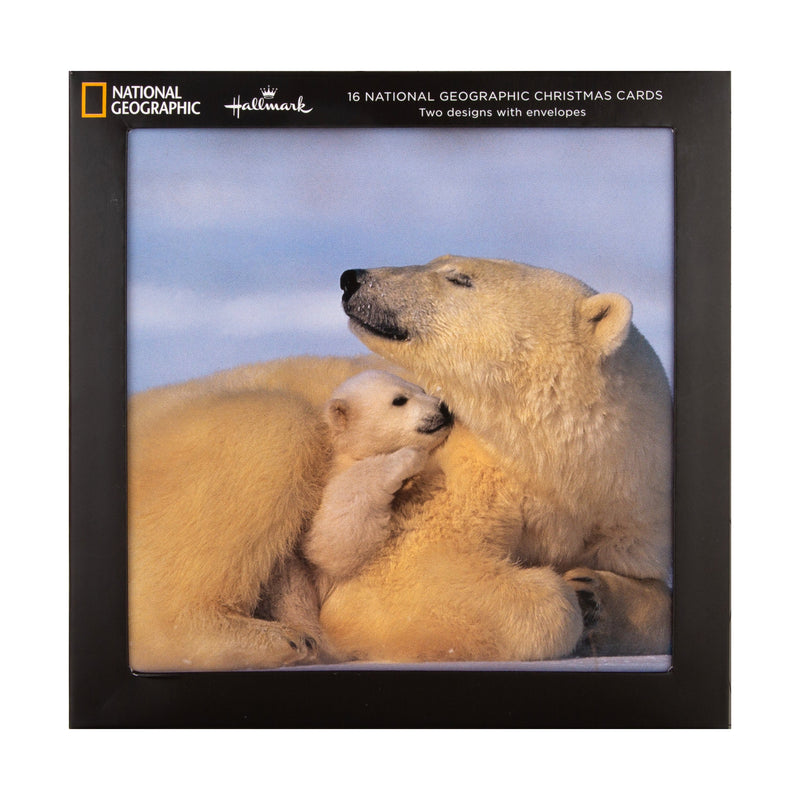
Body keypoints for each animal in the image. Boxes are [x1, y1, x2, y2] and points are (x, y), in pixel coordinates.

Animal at [128, 255, 672, 668]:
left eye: (459, 277)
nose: (353, 277)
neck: (566, 469)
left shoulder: (634, 510)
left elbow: (655, 595)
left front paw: (595, 594)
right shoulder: (450, 473)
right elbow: (402, 579)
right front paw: (565, 596)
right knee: (273, 427)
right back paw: (278, 639)